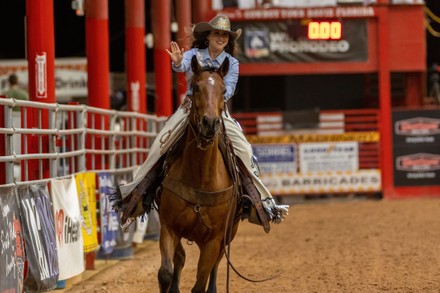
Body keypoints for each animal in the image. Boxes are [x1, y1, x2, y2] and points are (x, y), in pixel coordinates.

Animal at [158, 55, 241, 292]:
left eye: (224, 90)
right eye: (196, 87)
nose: (210, 122)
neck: (201, 179)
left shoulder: (214, 240)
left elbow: (200, 282)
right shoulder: (168, 226)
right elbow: (166, 273)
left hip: (228, 235)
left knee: (215, 266)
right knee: (180, 259)